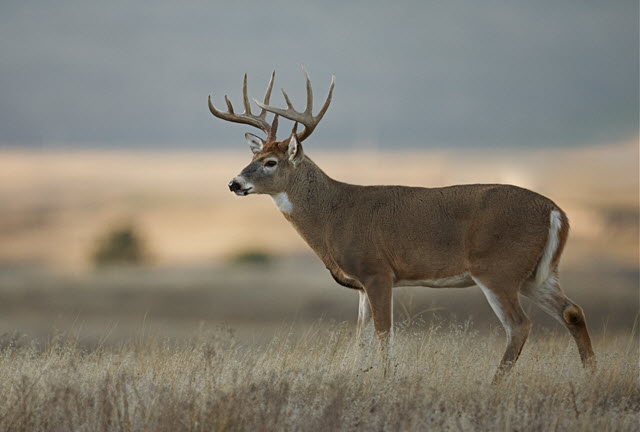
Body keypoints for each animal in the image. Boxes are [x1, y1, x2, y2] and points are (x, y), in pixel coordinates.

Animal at [208, 66, 596, 382]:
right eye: (253, 156)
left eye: (270, 162)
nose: (234, 183)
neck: (333, 216)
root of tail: (556, 211)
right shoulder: (361, 285)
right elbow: (361, 338)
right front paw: (361, 375)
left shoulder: (378, 270)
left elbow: (384, 334)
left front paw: (385, 378)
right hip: (536, 274)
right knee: (572, 311)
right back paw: (590, 375)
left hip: (498, 268)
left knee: (519, 325)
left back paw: (494, 383)